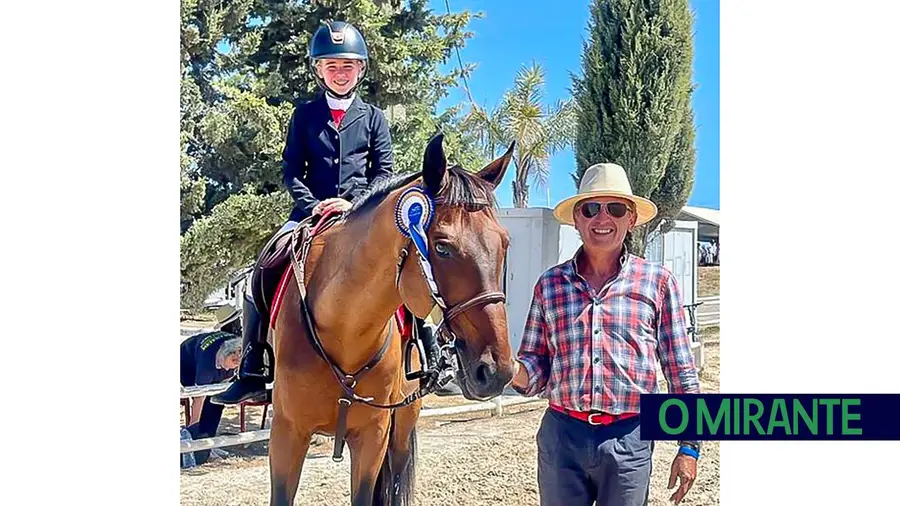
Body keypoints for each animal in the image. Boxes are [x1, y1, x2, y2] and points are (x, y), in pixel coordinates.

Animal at [268, 132, 516, 504]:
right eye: (441, 247)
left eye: (504, 244)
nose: (497, 371)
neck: (344, 328)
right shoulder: (286, 435)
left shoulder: (373, 436)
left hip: (403, 424)